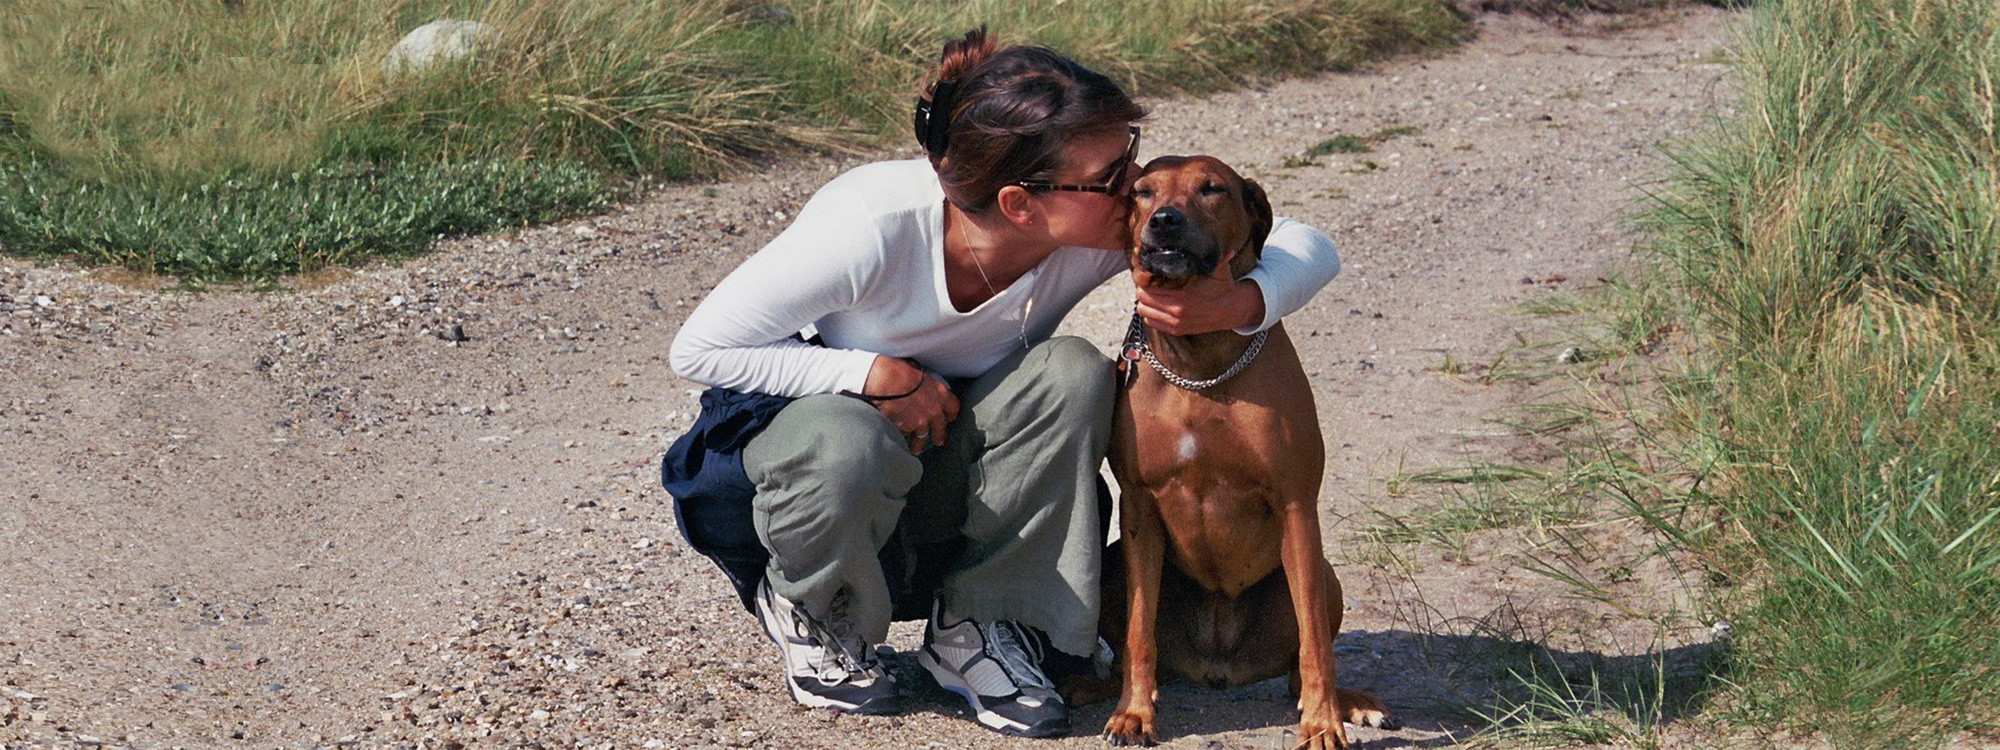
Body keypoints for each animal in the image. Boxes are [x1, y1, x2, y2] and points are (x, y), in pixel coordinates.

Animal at [1096, 156, 1392, 748]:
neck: (1198, 365)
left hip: (1324, 575)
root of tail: (1219, 668)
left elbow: (1315, 645)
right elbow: (1139, 634)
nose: (1163, 221)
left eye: (1212, 188)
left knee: (1300, 661)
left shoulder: (1296, 503)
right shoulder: (1137, 504)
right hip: (1115, 562)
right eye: (1142, 191)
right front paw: (1134, 714)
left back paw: (1348, 703)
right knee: (1124, 653)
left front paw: (1322, 722)